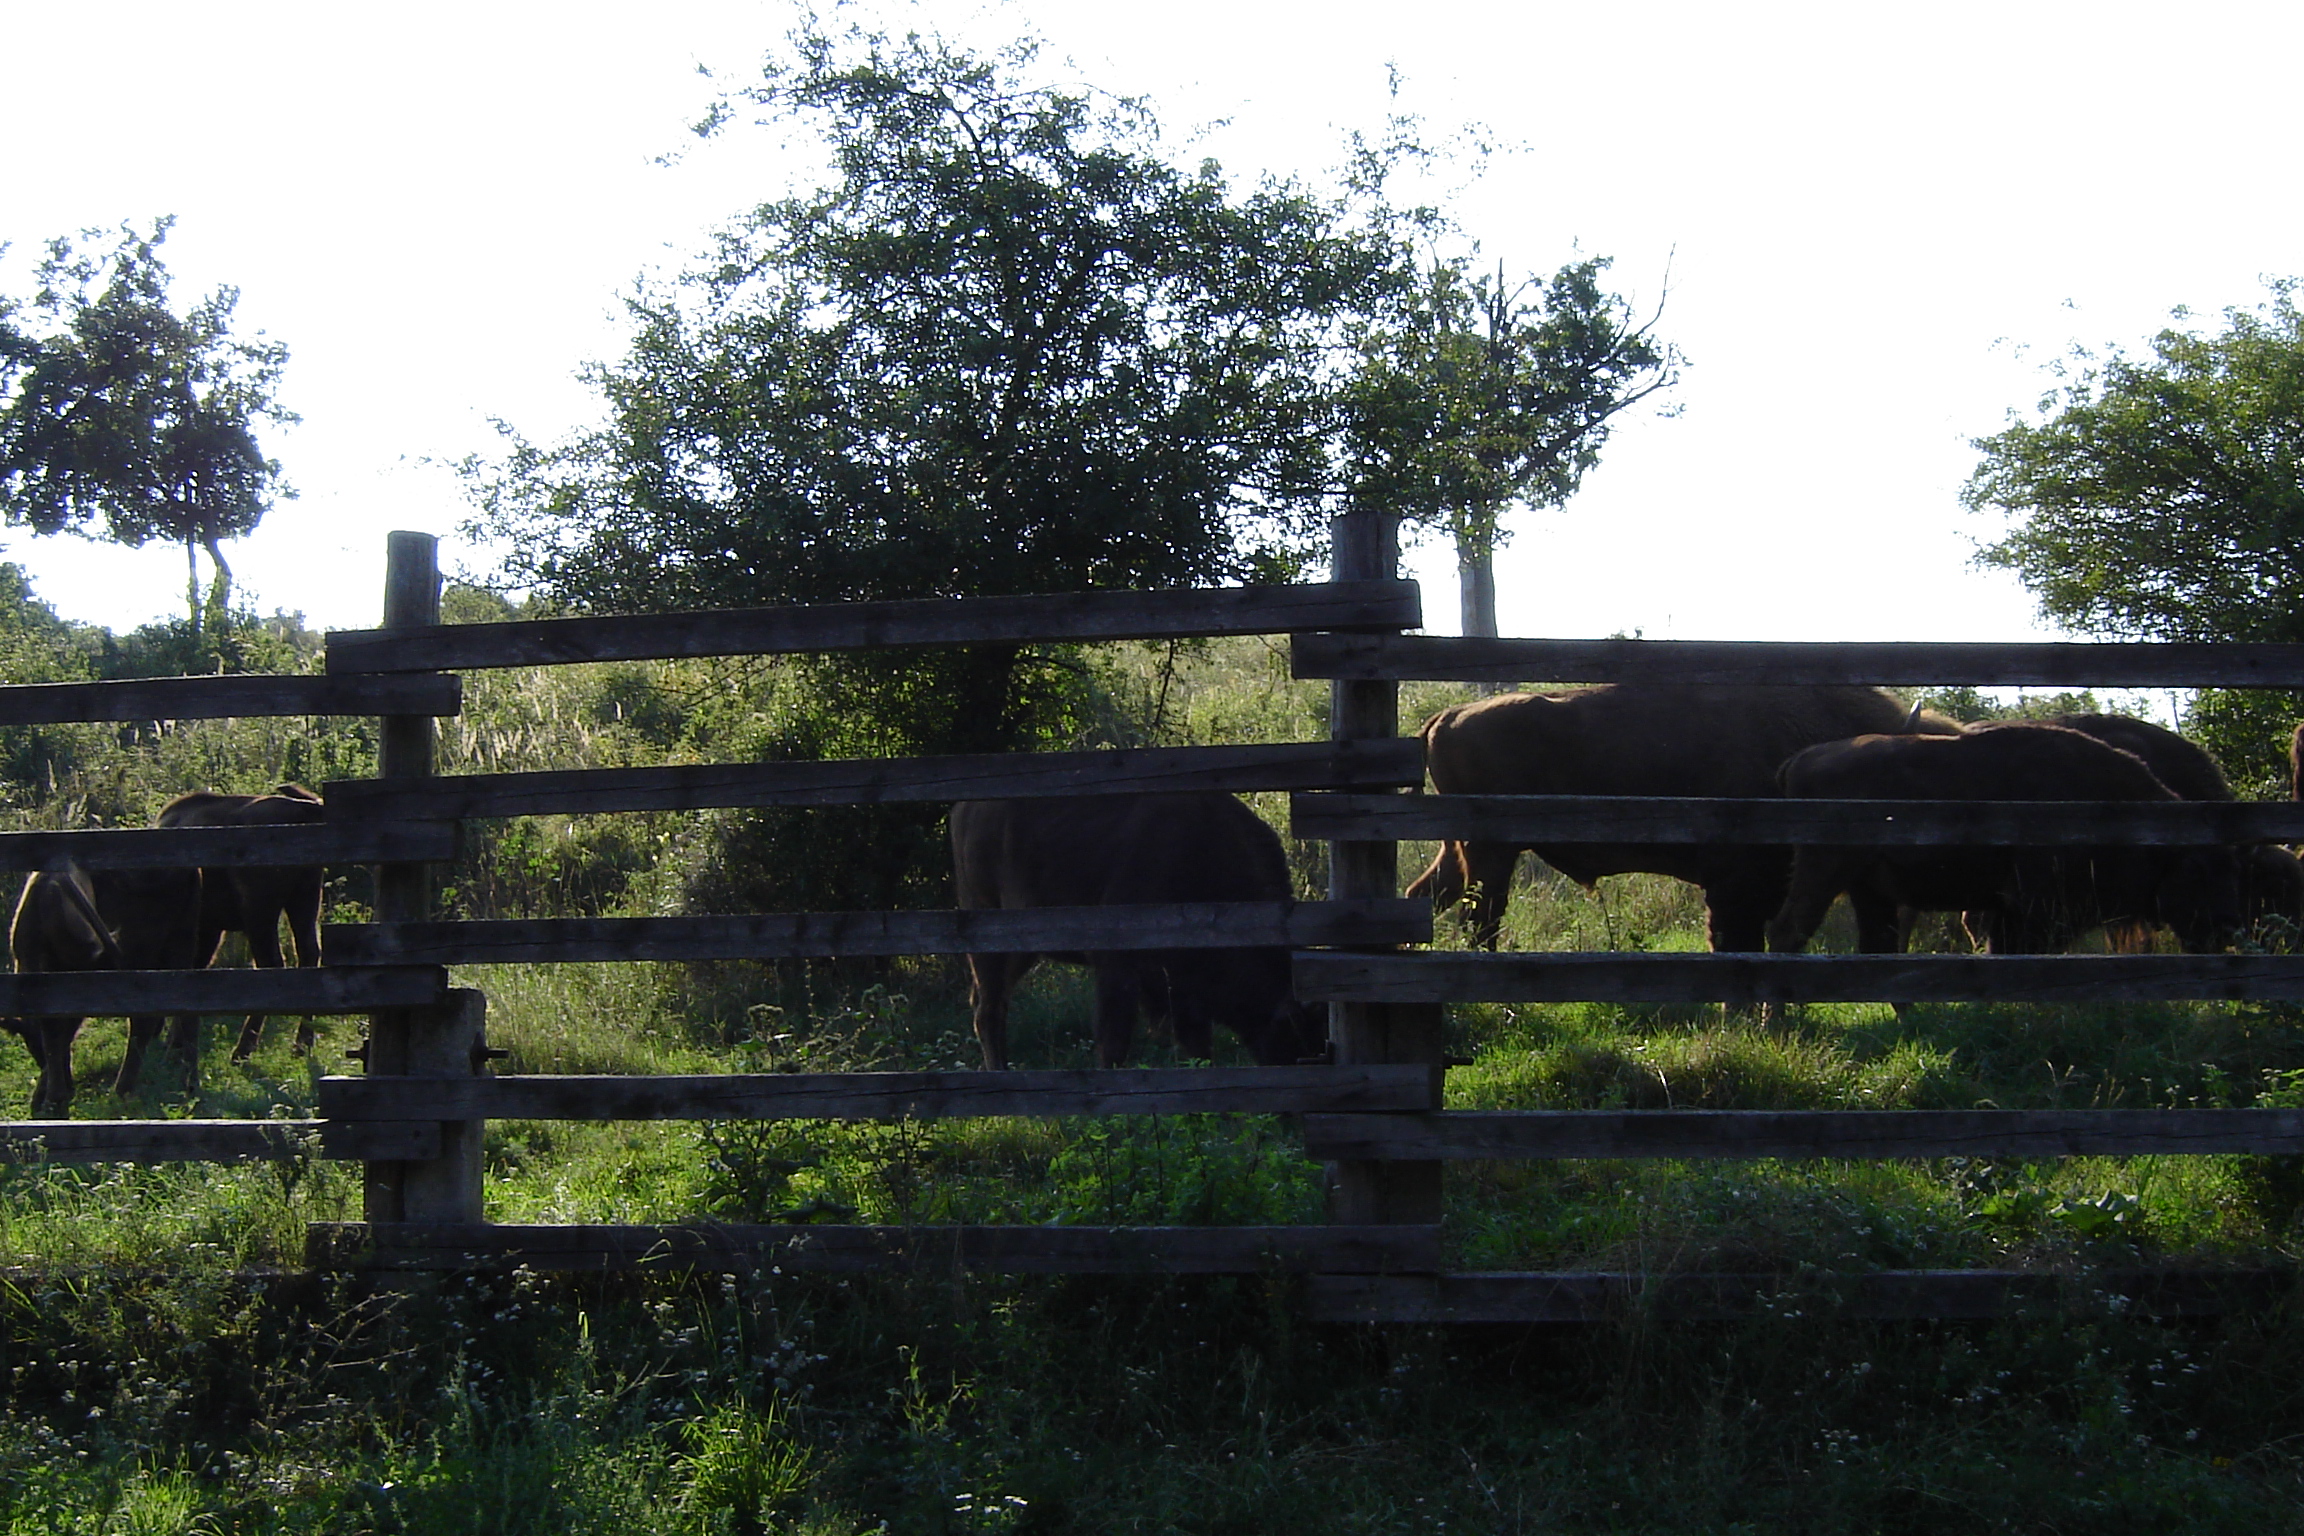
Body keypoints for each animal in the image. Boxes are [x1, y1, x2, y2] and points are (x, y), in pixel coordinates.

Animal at [4, 862, 204, 1116]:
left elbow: (57, 1035)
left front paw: (51, 1099)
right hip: (181, 947)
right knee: (185, 1014)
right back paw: (189, 1085)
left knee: (144, 1022)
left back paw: (122, 1090)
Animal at [156, 784, 327, 1059]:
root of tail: (303, 809)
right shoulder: (210, 928)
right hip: (305, 898)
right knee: (309, 954)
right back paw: (302, 1044)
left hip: (260, 913)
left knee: (271, 964)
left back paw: (242, 1050)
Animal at [949, 793, 1324, 1070]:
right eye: (1295, 1042)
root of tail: (964, 808)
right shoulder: (1118, 969)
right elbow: (1114, 1043)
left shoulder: (1182, 991)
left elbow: (1198, 1045)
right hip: (987, 935)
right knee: (989, 1008)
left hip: (1022, 950)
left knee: (987, 1000)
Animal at [1404, 685, 1958, 952]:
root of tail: (1446, 716)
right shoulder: (1735, 882)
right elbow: (1734, 938)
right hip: (1492, 851)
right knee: (1481, 916)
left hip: (1461, 851)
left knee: (1426, 896)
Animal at [1764, 722, 2244, 957]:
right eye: (2204, 875)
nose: (2226, 930)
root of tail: (1801, 759)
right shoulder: (2035, 909)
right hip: (1823, 870)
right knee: (1789, 932)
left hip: (1868, 887)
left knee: (1875, 946)